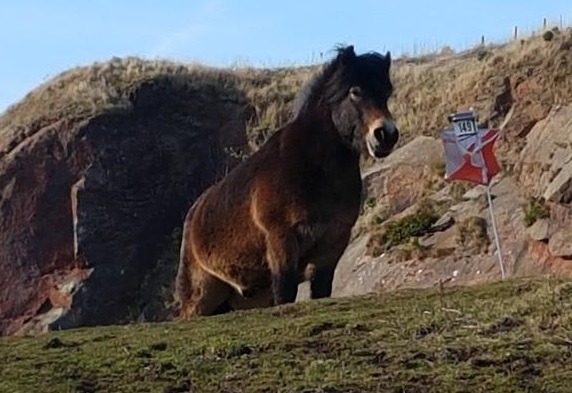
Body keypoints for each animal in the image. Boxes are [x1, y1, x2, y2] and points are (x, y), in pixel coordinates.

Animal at [174, 44, 398, 316]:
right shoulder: (282, 240)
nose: (386, 135)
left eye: (386, 93)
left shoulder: (333, 244)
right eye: (355, 91)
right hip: (200, 298)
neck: (312, 168)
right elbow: (286, 293)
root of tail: (193, 213)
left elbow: (321, 292)